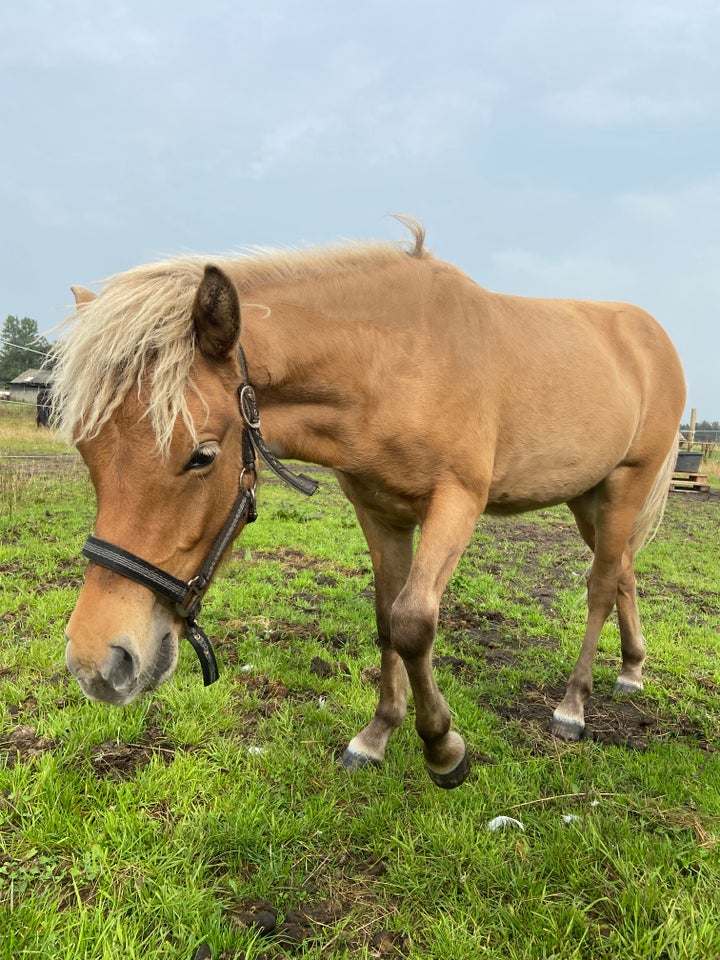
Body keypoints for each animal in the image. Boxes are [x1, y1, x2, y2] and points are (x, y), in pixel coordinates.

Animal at [52, 219, 688, 788]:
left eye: (202, 455)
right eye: (86, 450)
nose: (98, 664)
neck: (396, 361)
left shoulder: (456, 503)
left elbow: (412, 624)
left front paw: (443, 748)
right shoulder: (379, 512)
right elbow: (386, 620)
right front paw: (377, 736)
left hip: (626, 486)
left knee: (601, 585)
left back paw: (573, 707)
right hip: (589, 498)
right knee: (624, 570)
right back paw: (632, 669)